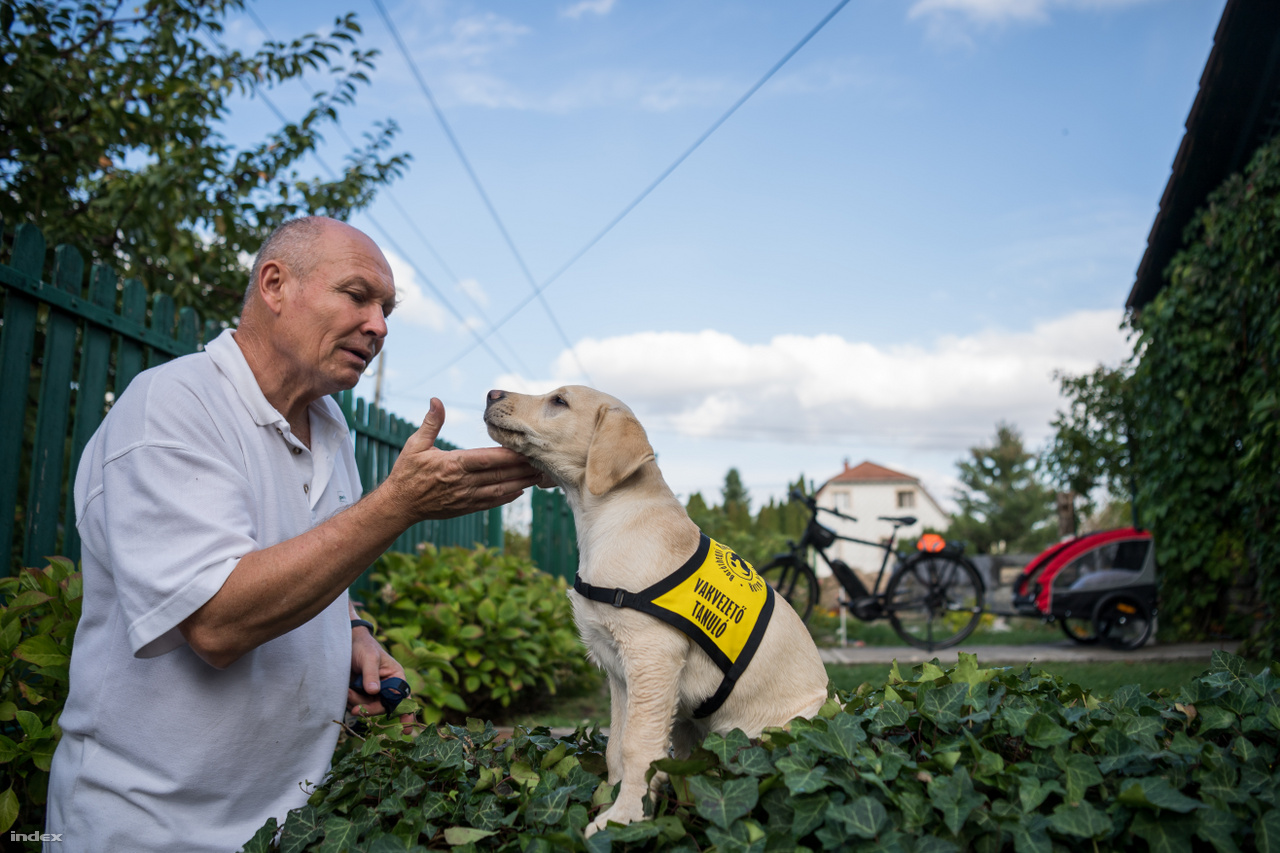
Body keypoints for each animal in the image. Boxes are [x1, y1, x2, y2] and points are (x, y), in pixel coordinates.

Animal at [481, 384, 829, 829]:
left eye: (559, 401)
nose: (491, 393)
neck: (608, 517)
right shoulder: (618, 671)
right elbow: (616, 746)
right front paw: (610, 801)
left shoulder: (652, 655)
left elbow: (638, 746)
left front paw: (623, 818)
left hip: (780, 729)